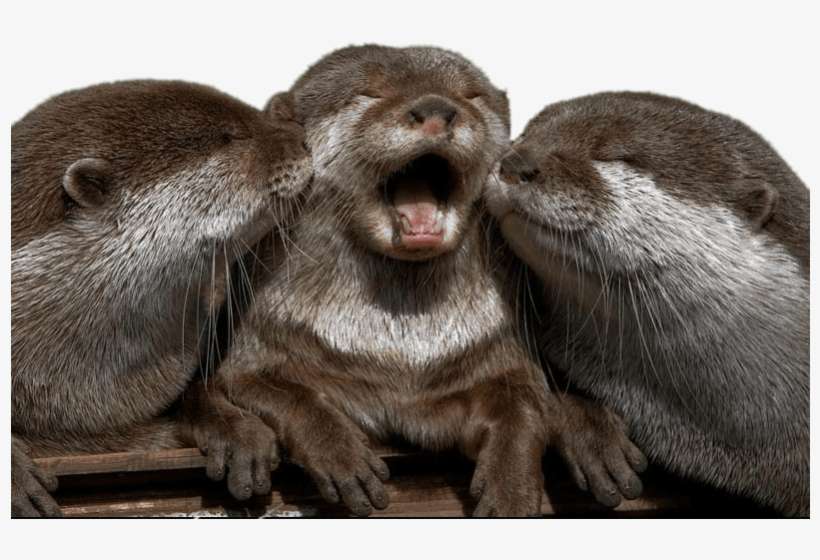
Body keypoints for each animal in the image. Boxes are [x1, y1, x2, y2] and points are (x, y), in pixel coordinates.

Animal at [187, 46, 646, 517]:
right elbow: (282, 393)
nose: (437, 108)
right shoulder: (259, 345)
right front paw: (340, 455)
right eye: (368, 93)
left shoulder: (497, 354)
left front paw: (511, 490)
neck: (398, 357)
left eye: (470, 95)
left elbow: (523, 403)